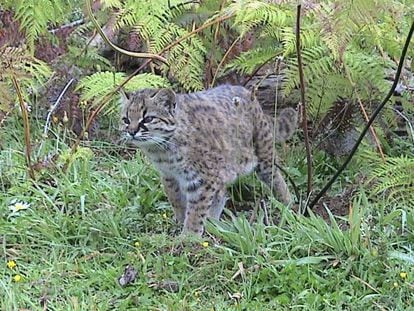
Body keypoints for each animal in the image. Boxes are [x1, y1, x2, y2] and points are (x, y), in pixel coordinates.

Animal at [119, 85, 298, 236]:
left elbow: (196, 209)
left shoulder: (203, 177)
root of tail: (247, 92)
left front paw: (189, 237)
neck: (163, 150)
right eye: (126, 119)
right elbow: (176, 200)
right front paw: (181, 223)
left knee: (276, 178)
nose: (132, 132)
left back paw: (288, 204)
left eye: (147, 119)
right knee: (222, 193)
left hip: (263, 154)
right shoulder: (170, 176)